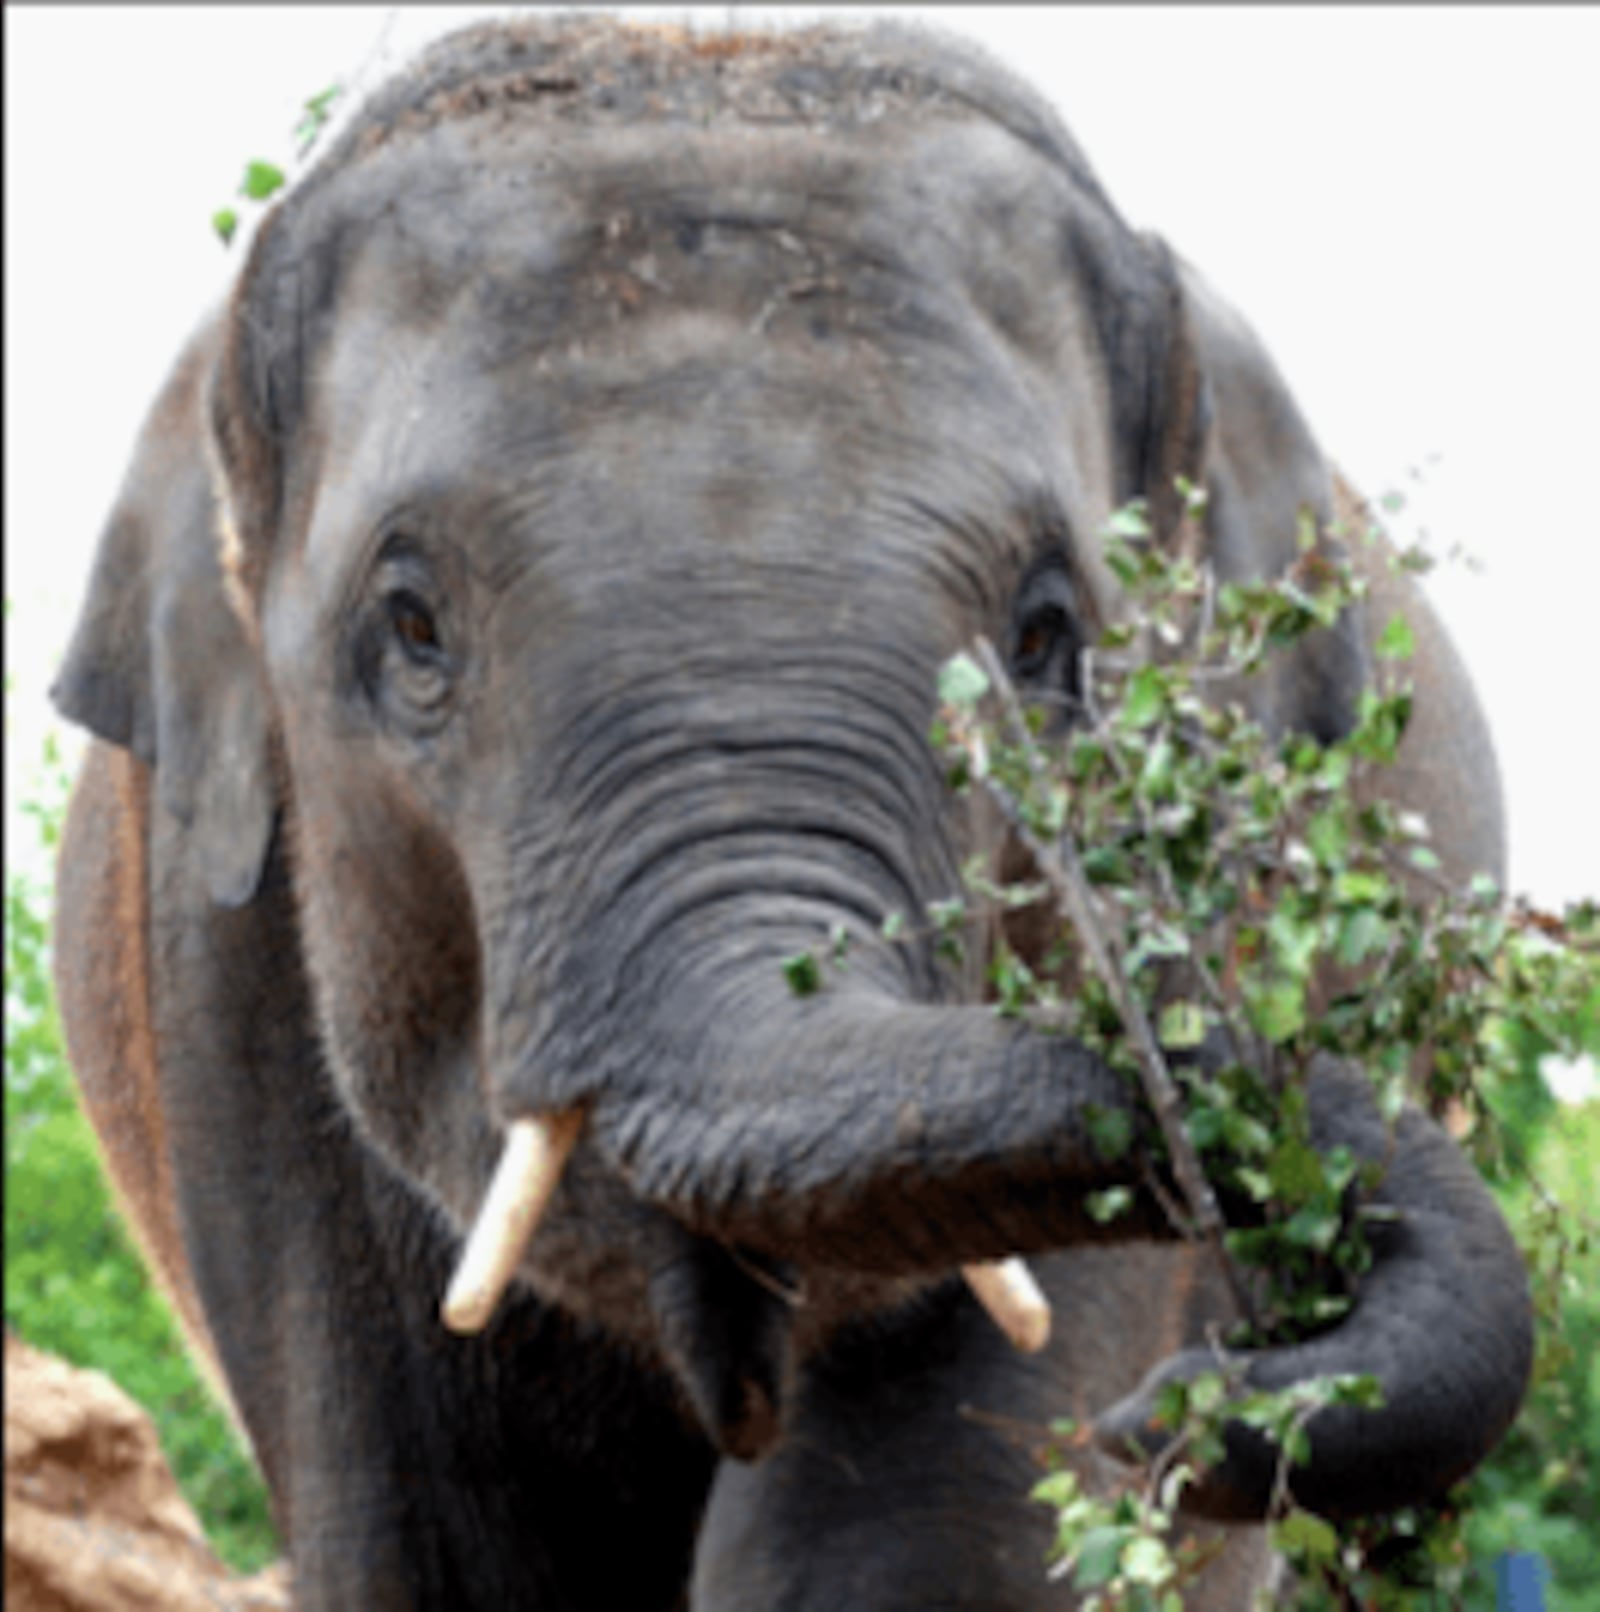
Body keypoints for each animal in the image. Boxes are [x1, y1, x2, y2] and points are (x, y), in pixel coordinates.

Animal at [49, 15, 1527, 1612]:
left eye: (1048, 636)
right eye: (411, 625)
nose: (1182, 1415)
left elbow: (910, 1537)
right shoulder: (222, 961)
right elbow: (435, 1547)